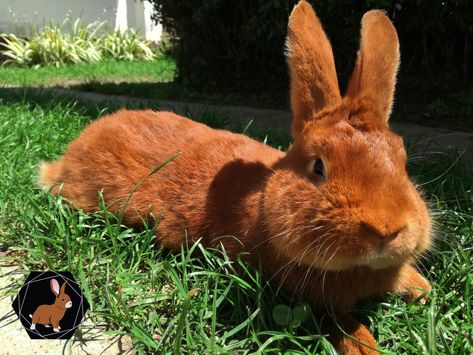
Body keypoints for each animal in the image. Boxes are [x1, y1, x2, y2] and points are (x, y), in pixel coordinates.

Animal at [37, 1, 432, 354]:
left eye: (402, 159)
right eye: (319, 167)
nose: (386, 230)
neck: (264, 200)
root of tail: (73, 152)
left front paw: (421, 289)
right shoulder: (310, 297)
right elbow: (341, 324)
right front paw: (367, 346)